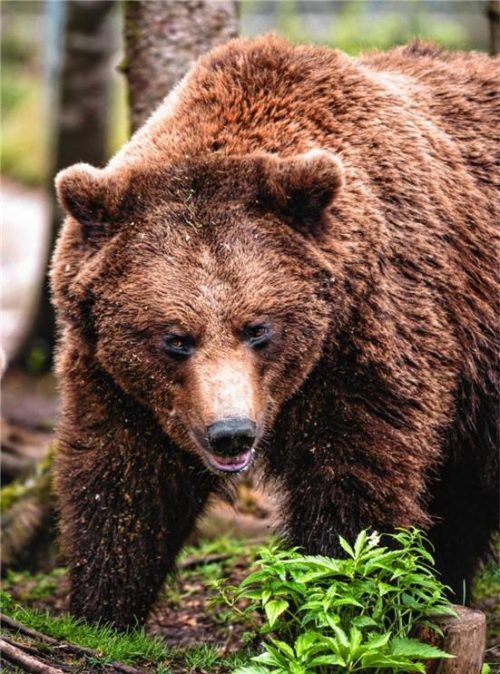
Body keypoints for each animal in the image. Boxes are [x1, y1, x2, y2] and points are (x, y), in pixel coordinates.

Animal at [51, 36, 499, 629]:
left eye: (258, 328)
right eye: (175, 338)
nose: (231, 433)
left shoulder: (373, 339)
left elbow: (351, 488)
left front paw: (335, 598)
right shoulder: (112, 374)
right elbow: (123, 480)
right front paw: (101, 609)